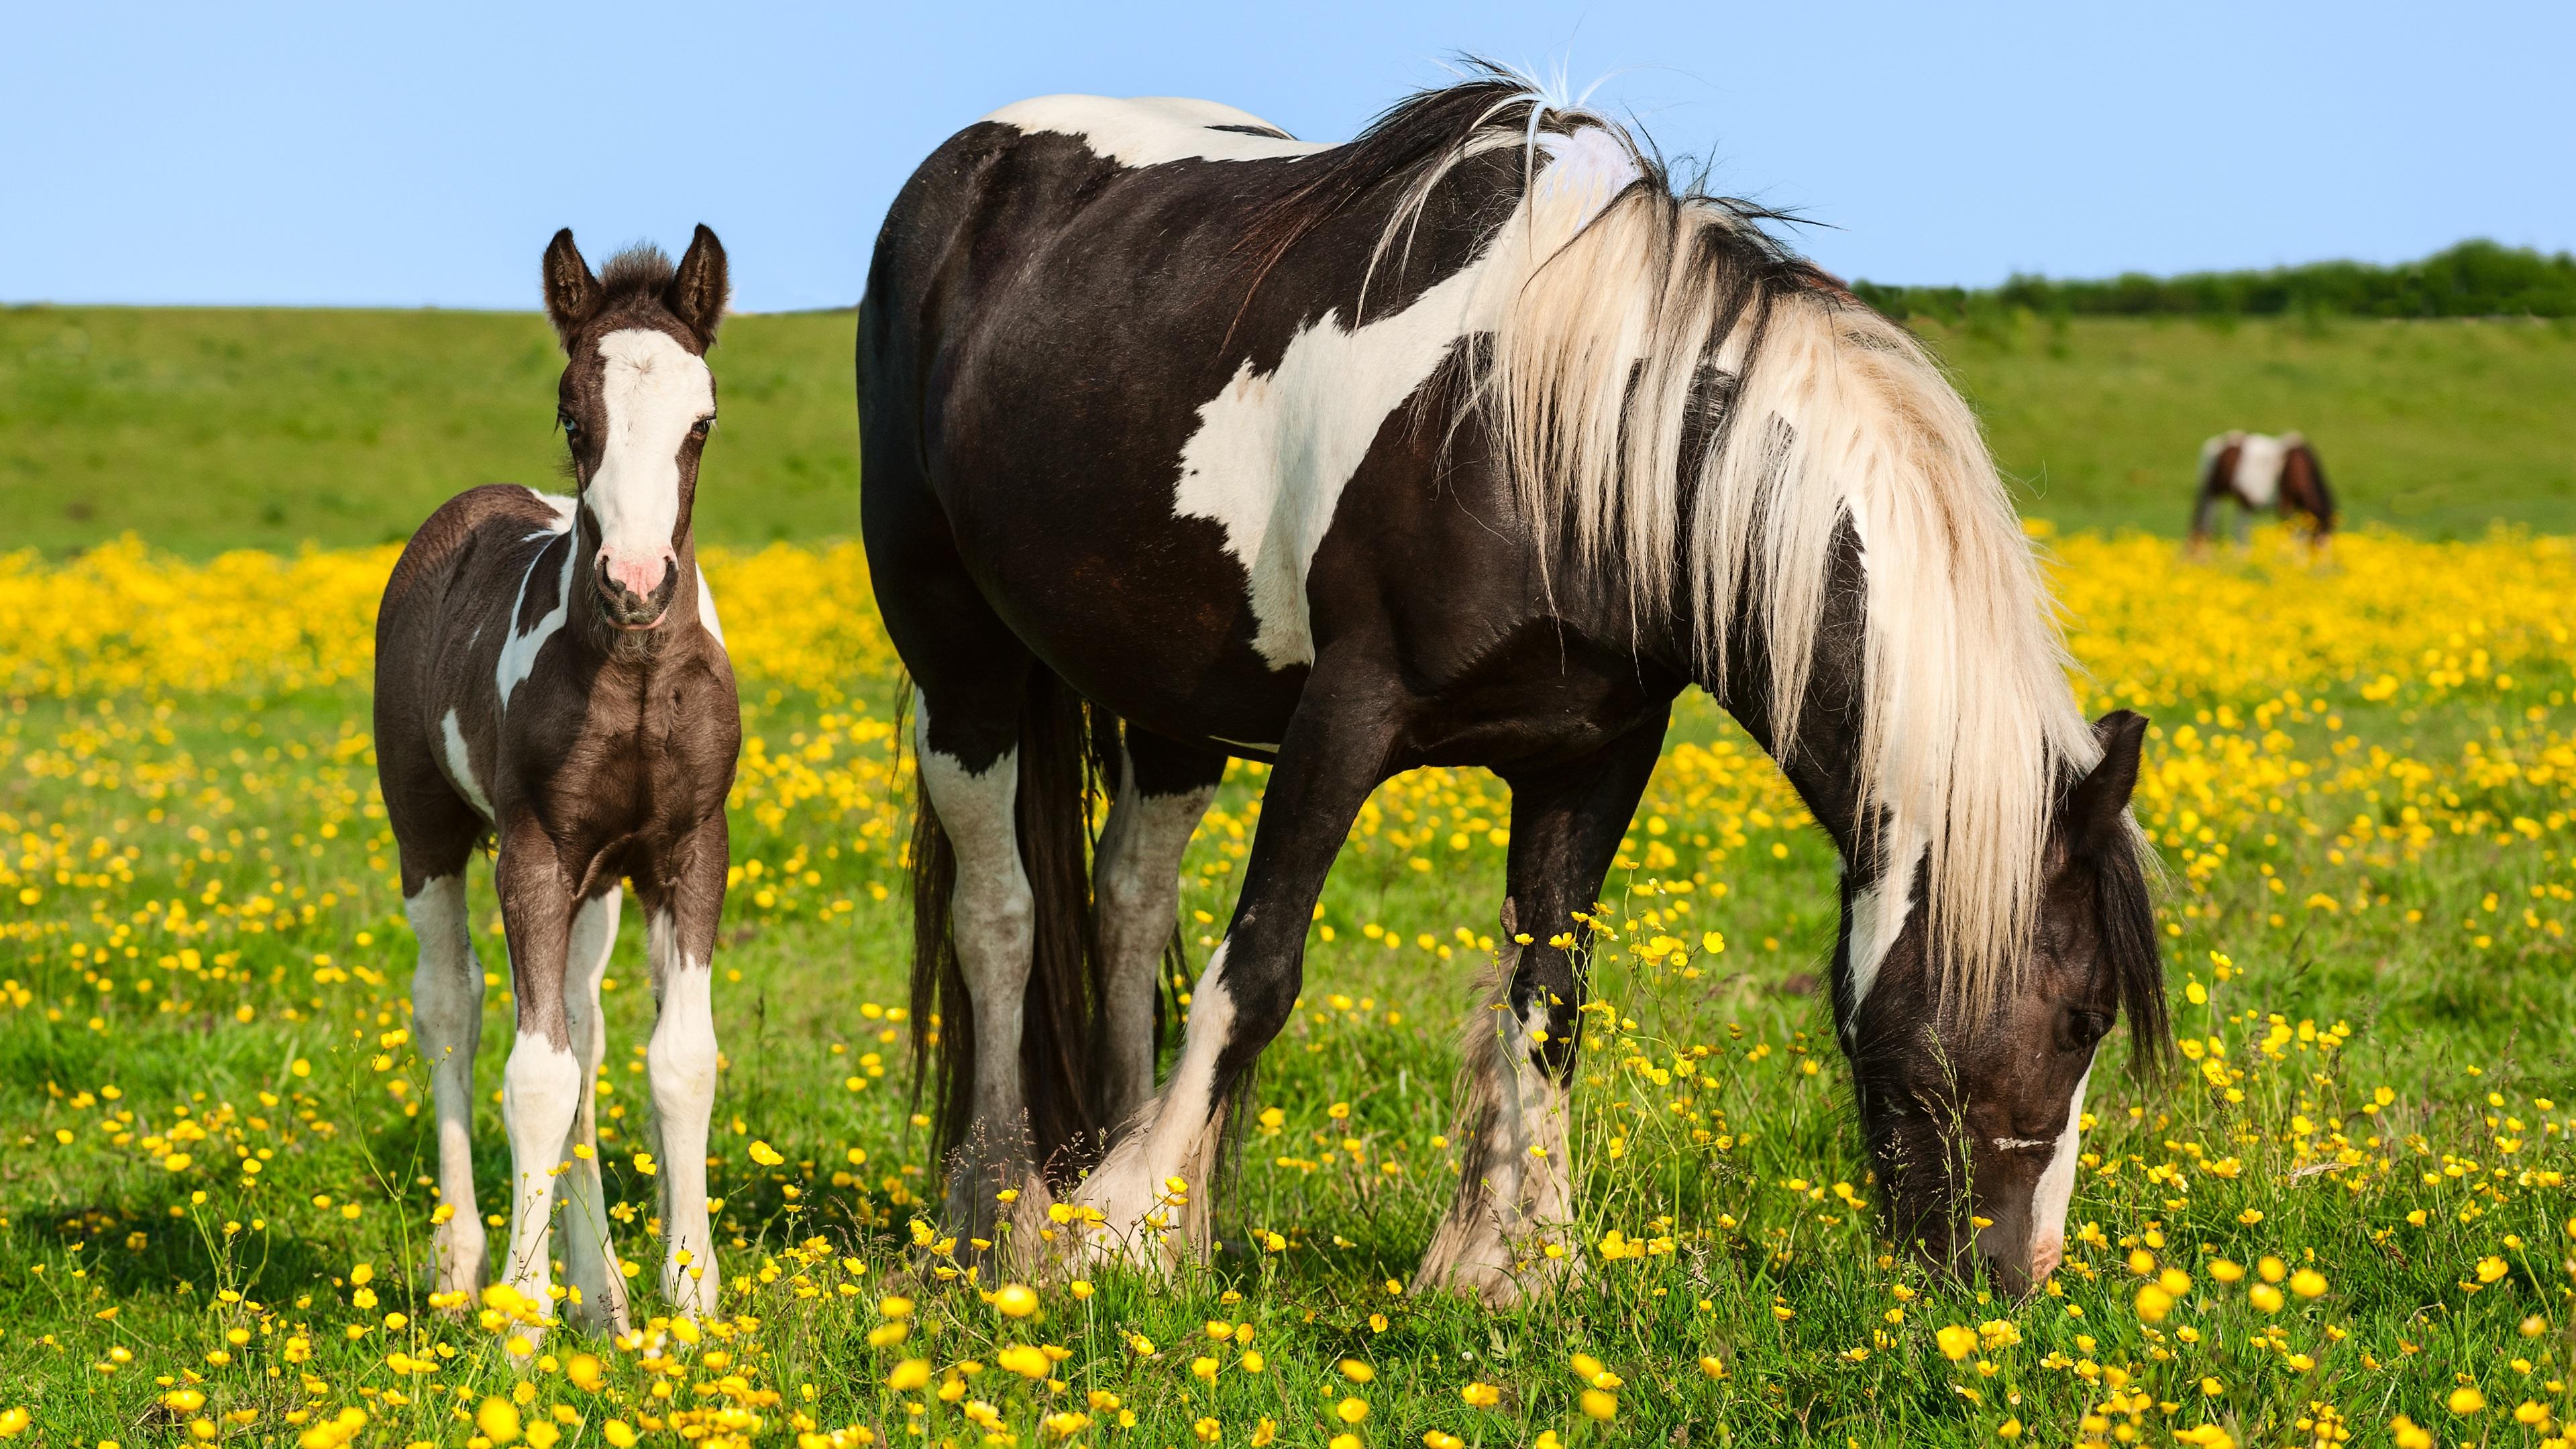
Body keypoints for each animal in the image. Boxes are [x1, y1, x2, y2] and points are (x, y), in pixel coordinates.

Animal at [381, 223, 747, 1330]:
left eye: (703, 421)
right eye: (572, 414)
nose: (636, 583)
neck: (632, 675)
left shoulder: (687, 850)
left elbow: (675, 1061)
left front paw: (689, 1301)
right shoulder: (536, 854)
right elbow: (533, 1077)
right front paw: (521, 1326)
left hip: (600, 887)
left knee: (585, 1032)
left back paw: (603, 1293)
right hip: (426, 834)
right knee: (450, 1007)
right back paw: (463, 1265)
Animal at [855, 73, 2163, 1299]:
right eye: (2083, 1017)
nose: (2016, 1275)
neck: (1561, 434)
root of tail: (963, 172)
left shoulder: (1592, 753)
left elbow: (1549, 998)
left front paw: (1521, 1265)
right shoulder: (1347, 714)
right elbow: (1258, 968)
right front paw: (1120, 1237)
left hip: (1178, 697)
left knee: (1128, 905)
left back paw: (1122, 1171)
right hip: (960, 663)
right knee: (1001, 916)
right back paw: (998, 1210)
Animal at [2194, 425, 2339, 549]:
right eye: (2317, 539)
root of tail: (2219, 443)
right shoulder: (2285, 503)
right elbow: (2288, 530)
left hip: (2242, 501)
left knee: (2240, 526)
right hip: (2214, 493)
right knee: (2207, 524)